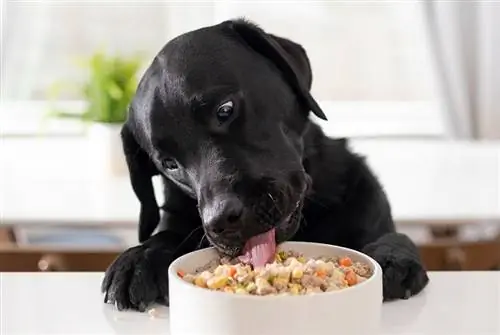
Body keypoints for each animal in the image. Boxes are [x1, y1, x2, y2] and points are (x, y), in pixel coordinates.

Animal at [102, 19, 430, 312]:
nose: (222, 220)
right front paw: (139, 259)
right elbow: (165, 236)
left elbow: (393, 236)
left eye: (225, 109)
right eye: (169, 164)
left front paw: (391, 256)